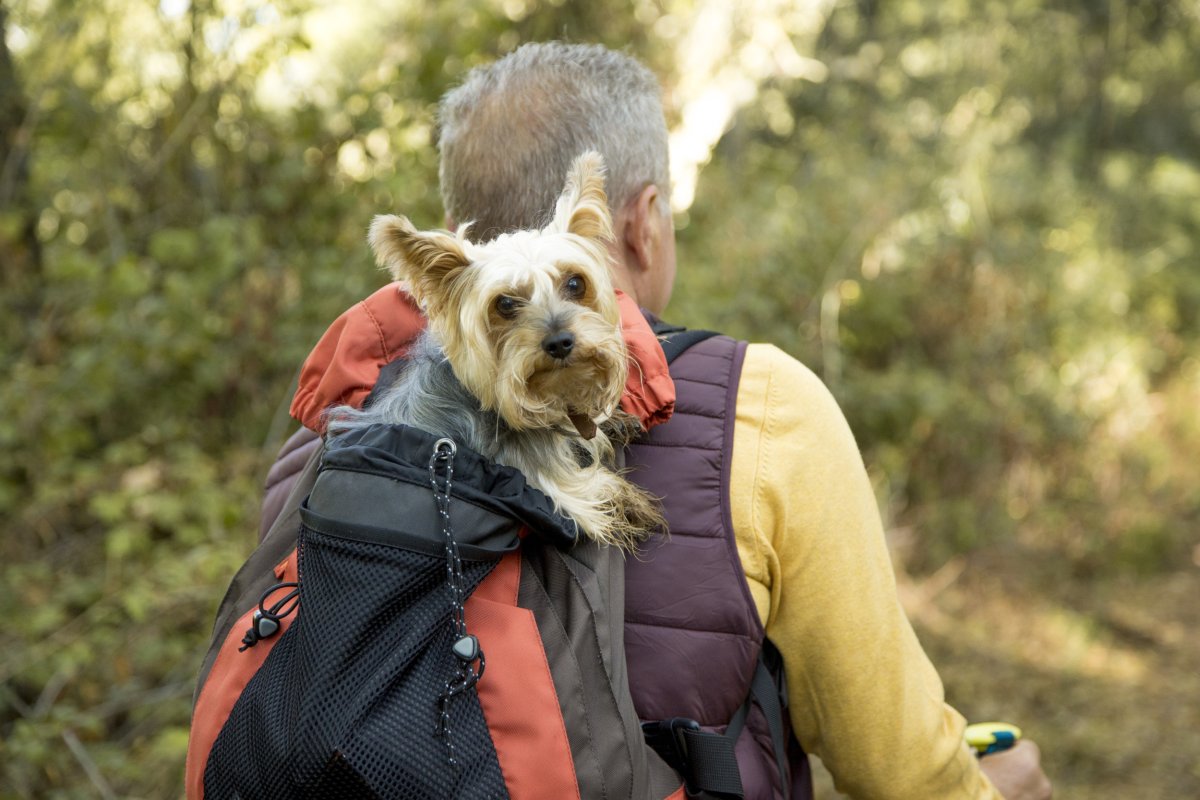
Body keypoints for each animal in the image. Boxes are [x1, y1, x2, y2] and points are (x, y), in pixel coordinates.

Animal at [328, 151, 667, 551]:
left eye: (575, 283)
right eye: (504, 304)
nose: (559, 342)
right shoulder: (540, 482)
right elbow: (592, 491)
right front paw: (633, 503)